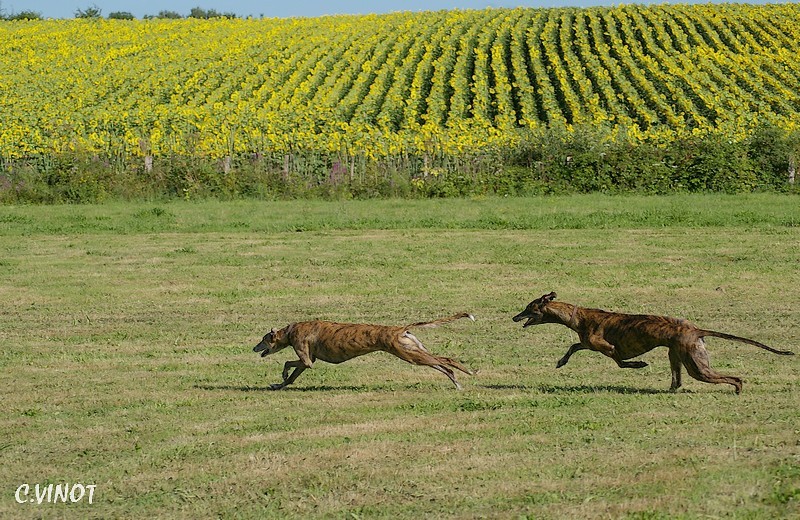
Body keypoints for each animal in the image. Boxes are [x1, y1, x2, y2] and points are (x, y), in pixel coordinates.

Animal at [255, 312, 476, 390]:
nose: (253, 347)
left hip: (410, 354)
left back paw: (467, 372)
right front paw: (278, 385)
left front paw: (282, 375)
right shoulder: (307, 362)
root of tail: (400, 329)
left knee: (447, 360)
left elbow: (288, 363)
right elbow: (292, 377)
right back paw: (456, 381)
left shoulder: (305, 360)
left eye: (263, 339)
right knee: (443, 364)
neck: (290, 331)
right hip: (415, 350)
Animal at [516, 292, 792, 394]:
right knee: (677, 381)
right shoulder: (588, 343)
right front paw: (561, 362)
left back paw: (737, 390)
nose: (513, 316)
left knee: (735, 378)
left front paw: (639, 365)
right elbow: (574, 347)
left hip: (697, 366)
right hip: (677, 357)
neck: (579, 316)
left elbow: (621, 362)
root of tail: (695, 330)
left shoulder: (609, 348)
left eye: (529, 308)